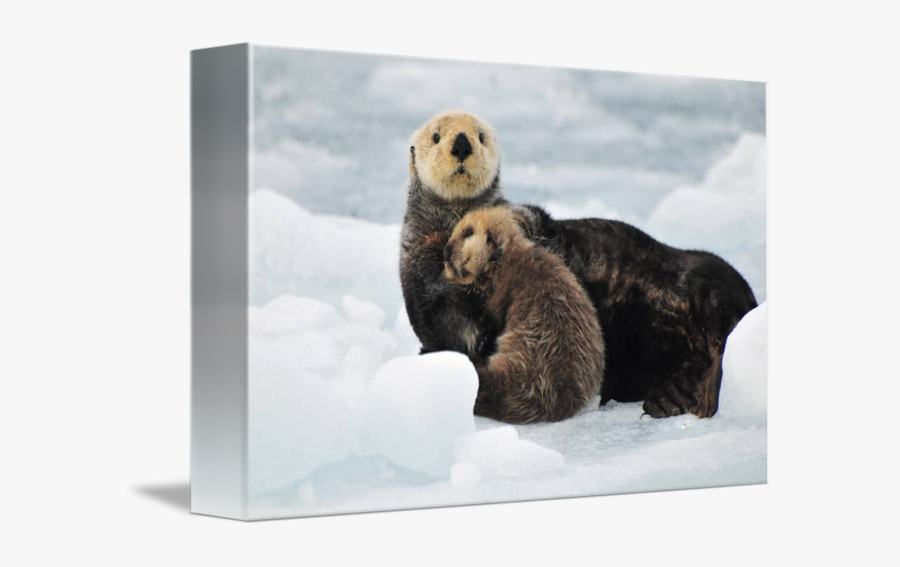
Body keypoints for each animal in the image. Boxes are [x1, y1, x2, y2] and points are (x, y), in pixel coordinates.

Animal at [444, 207, 605, 424]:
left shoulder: (501, 291)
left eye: (468, 232)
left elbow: (491, 316)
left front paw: (482, 339)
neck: (504, 260)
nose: (446, 251)